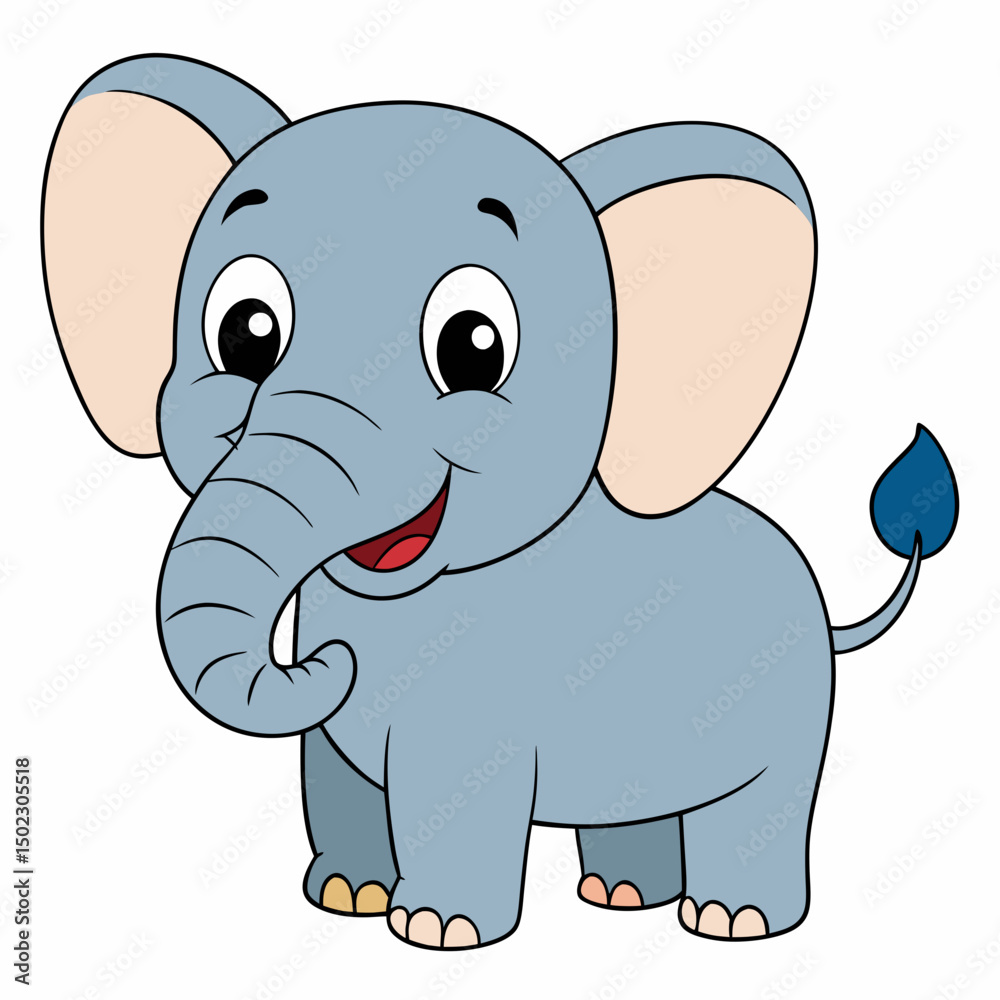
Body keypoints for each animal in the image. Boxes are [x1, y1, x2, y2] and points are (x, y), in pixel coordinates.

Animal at [43, 54, 958, 950]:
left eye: (475, 346)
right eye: (245, 332)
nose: (326, 660)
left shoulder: (481, 707)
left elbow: (450, 791)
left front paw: (436, 930)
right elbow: (334, 769)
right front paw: (347, 898)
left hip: (790, 703)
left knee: (762, 803)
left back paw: (734, 921)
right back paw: (622, 895)